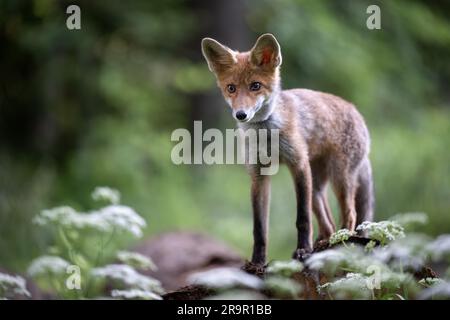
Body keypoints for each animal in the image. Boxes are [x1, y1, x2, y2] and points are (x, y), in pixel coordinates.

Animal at [202, 33, 374, 264]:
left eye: (255, 86)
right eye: (231, 88)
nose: (241, 114)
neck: (267, 133)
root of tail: (356, 110)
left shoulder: (298, 165)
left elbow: (302, 219)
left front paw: (302, 250)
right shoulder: (258, 175)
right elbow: (259, 227)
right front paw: (257, 261)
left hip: (339, 177)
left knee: (350, 214)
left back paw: (339, 243)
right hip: (316, 186)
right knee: (328, 222)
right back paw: (323, 244)